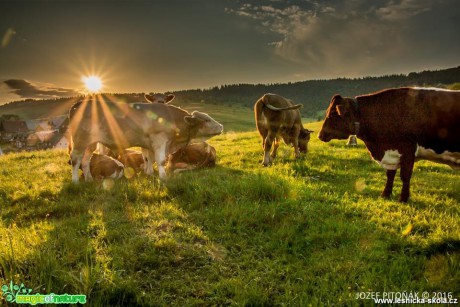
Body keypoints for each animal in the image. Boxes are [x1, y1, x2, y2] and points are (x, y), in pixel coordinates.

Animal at [68, 97, 225, 182]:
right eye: (206, 120)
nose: (221, 126)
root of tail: (78, 104)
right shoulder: (160, 140)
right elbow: (160, 160)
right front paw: (163, 177)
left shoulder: (149, 144)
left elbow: (149, 158)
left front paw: (149, 173)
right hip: (80, 141)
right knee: (76, 160)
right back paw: (75, 181)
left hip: (91, 143)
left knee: (86, 160)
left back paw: (88, 179)